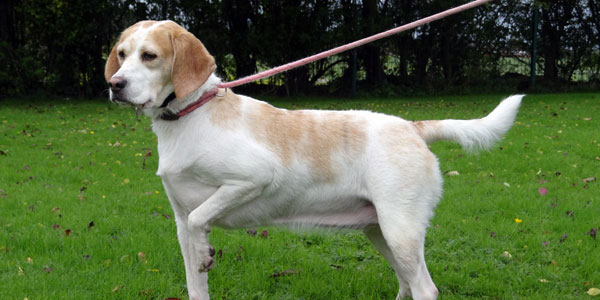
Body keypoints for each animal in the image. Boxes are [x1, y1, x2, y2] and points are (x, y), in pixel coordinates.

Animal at [105, 20, 524, 300]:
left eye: (150, 56)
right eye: (122, 55)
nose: (114, 85)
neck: (189, 116)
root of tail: (413, 127)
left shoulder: (252, 179)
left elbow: (200, 218)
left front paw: (207, 253)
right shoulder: (180, 224)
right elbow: (196, 274)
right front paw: (203, 260)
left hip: (400, 233)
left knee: (424, 288)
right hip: (381, 232)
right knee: (406, 284)